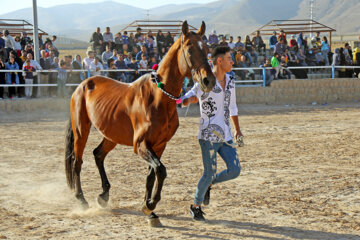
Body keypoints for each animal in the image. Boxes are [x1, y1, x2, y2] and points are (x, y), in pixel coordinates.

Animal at [64, 20, 217, 225]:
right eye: (190, 49)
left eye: (207, 48)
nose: (209, 80)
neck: (158, 97)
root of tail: (82, 85)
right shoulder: (141, 145)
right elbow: (161, 170)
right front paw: (150, 205)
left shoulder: (159, 144)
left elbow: (151, 175)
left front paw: (148, 208)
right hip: (81, 130)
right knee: (77, 161)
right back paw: (81, 199)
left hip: (111, 135)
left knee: (98, 155)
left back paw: (104, 195)